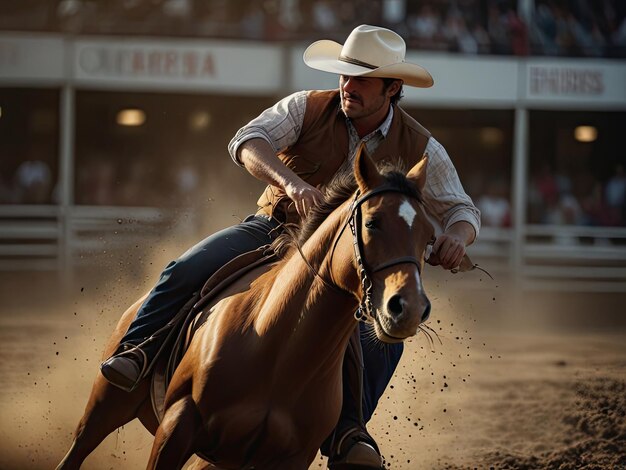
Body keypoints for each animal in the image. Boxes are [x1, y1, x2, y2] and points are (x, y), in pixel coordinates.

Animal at [54, 144, 434, 470]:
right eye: (372, 222)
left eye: (429, 236)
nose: (409, 309)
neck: (277, 348)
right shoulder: (176, 427)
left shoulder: (291, 458)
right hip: (106, 404)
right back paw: (128, 360)